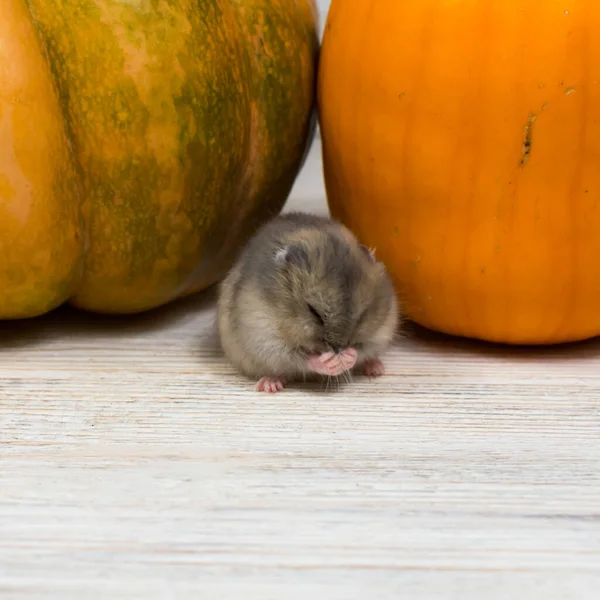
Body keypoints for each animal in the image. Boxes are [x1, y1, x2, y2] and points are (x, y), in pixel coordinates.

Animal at [216, 212, 398, 394]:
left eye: (362, 316)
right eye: (313, 311)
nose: (338, 349)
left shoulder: (381, 332)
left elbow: (363, 348)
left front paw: (347, 357)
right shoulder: (265, 338)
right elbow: (302, 359)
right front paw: (330, 361)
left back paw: (376, 369)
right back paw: (270, 385)